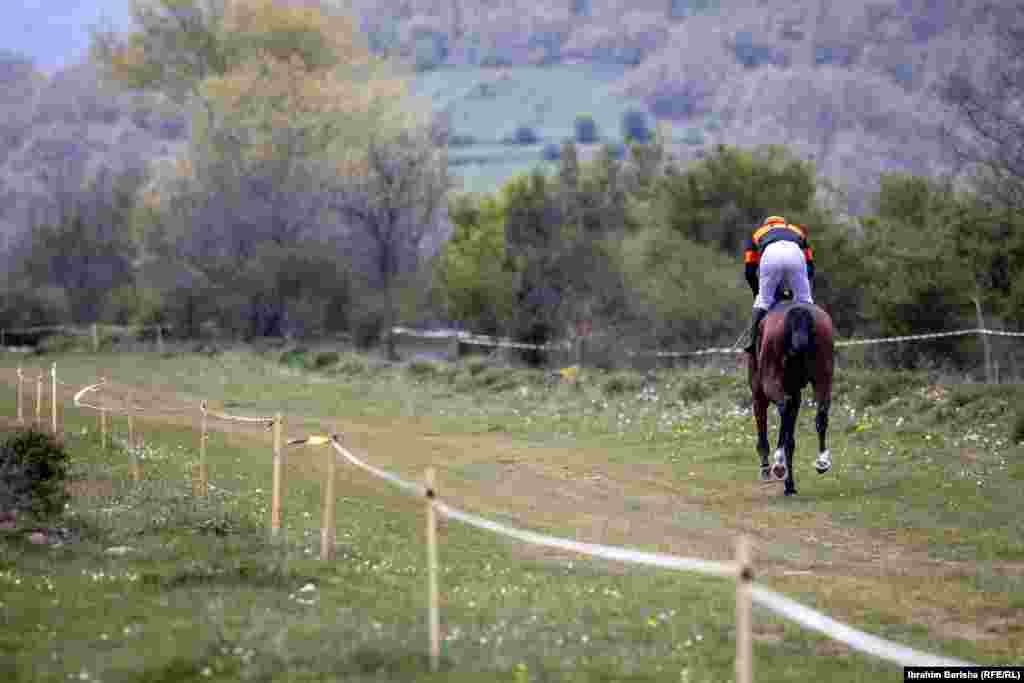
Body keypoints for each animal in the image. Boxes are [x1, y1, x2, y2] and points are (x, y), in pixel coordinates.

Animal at [749, 301, 835, 493]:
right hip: (823, 377)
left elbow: (764, 429)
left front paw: (767, 468)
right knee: (821, 413)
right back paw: (822, 461)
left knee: (784, 406)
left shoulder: (759, 394)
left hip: (768, 382)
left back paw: (778, 464)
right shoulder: (796, 394)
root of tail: (799, 312)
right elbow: (791, 439)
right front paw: (790, 484)